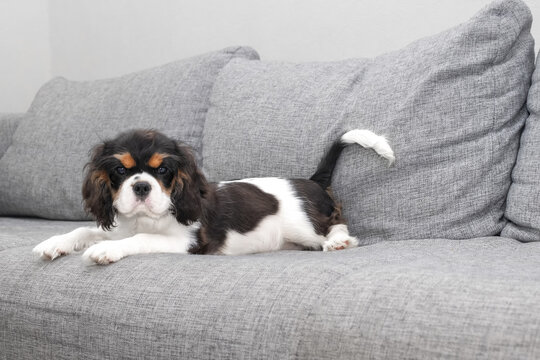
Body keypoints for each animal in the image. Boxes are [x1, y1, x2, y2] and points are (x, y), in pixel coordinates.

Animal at [32, 128, 392, 262]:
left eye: (163, 170)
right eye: (121, 170)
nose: (141, 186)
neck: (146, 219)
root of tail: (311, 180)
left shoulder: (189, 242)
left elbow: (139, 240)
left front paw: (106, 250)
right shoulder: (120, 225)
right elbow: (84, 230)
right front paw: (55, 243)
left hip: (303, 224)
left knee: (335, 225)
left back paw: (339, 242)